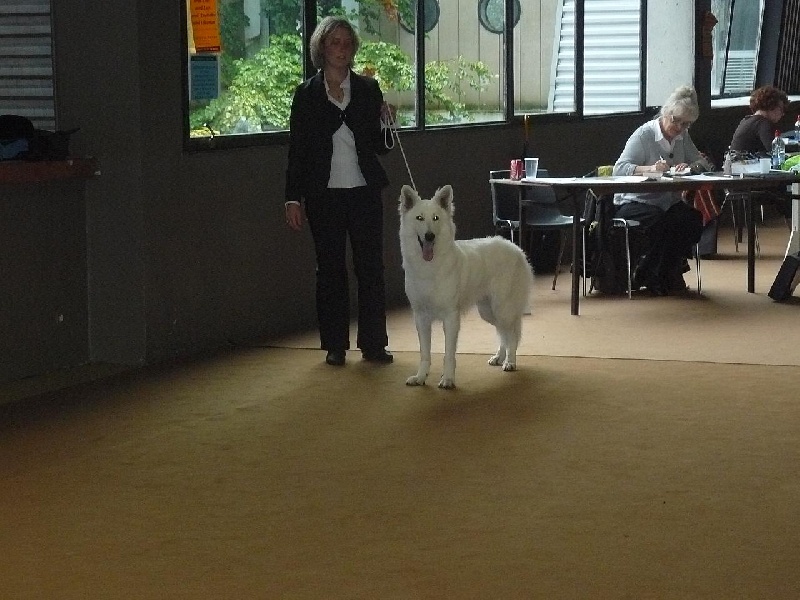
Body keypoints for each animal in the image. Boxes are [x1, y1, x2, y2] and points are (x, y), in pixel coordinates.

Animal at [398, 184, 534, 389]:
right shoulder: (421, 318)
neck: (429, 267)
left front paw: (448, 379)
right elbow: (424, 354)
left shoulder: (451, 318)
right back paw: (499, 357)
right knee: (502, 334)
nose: (429, 236)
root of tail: (515, 248)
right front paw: (420, 377)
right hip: (488, 312)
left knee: (511, 335)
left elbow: (448, 354)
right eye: (419, 218)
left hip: (503, 310)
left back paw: (510, 361)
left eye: (436, 218)